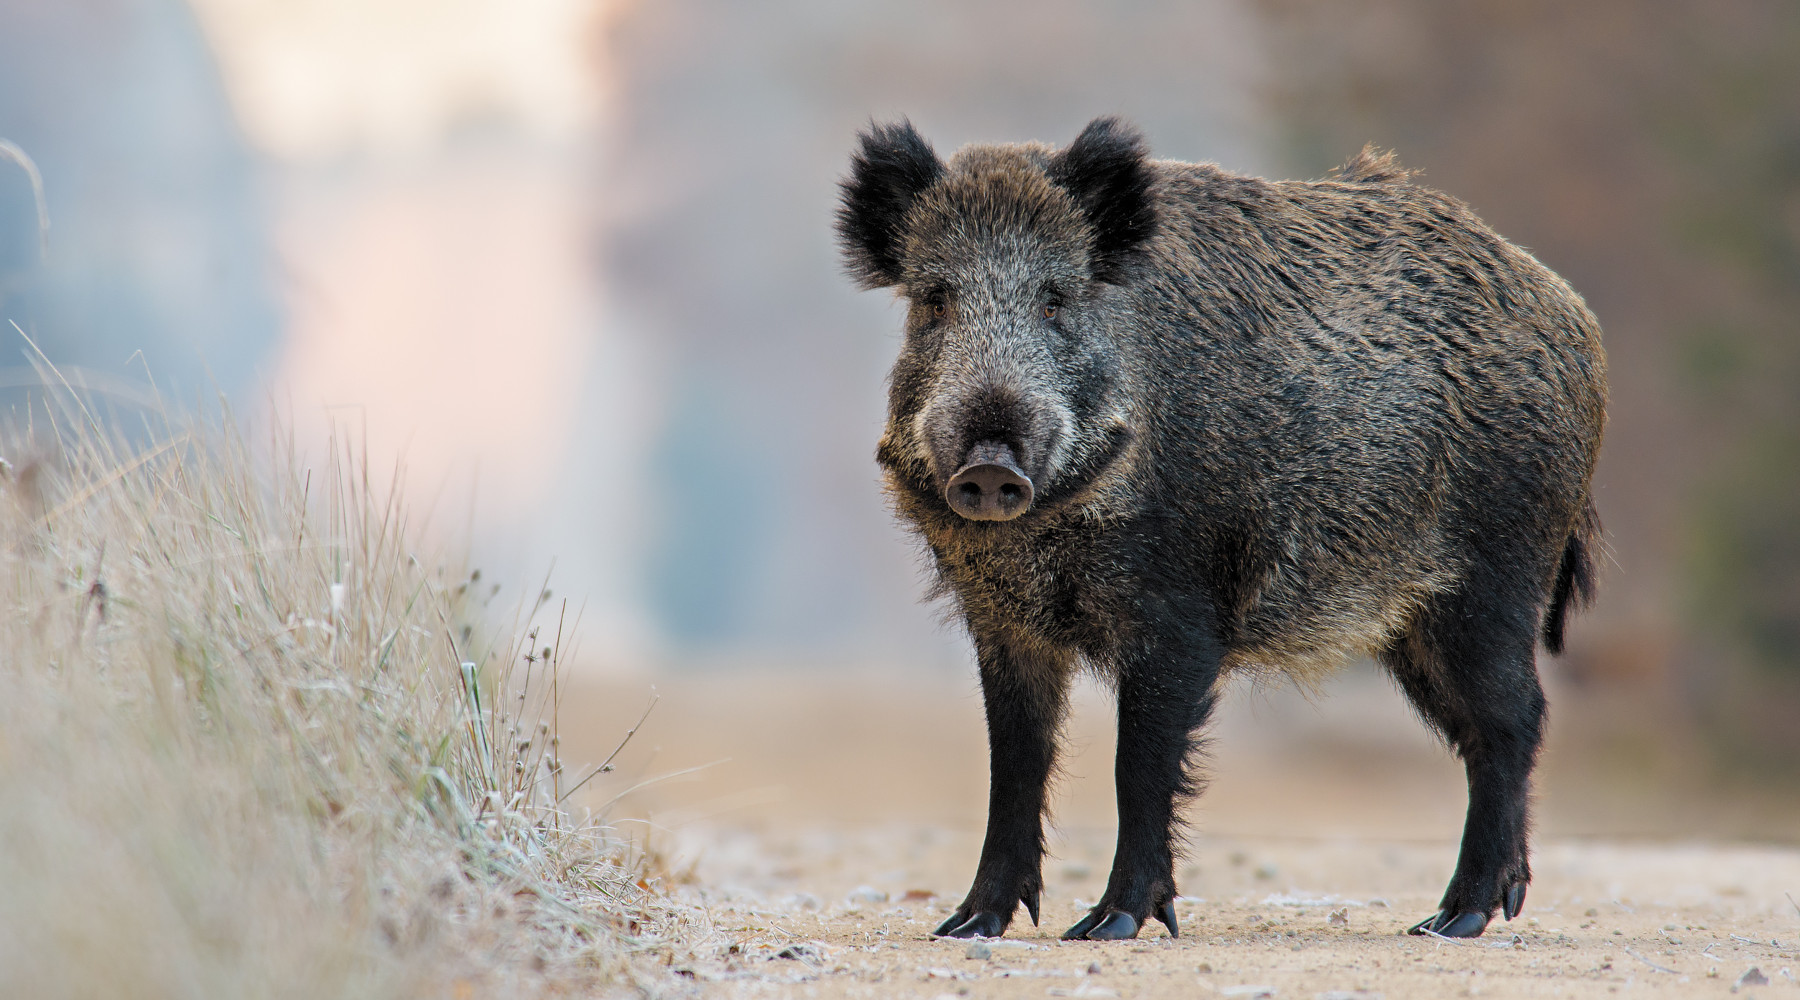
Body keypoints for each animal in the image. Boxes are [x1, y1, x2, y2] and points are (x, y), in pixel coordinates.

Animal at [835, 117, 1605, 940]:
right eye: (933, 302)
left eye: (1055, 301)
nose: (988, 466)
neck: (1050, 531)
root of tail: (1575, 320)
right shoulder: (1004, 620)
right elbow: (1012, 764)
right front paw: (968, 925)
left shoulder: (1180, 609)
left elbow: (1139, 764)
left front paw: (1107, 926)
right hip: (1412, 624)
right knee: (1479, 731)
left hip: (1493, 580)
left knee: (1513, 721)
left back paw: (1454, 919)